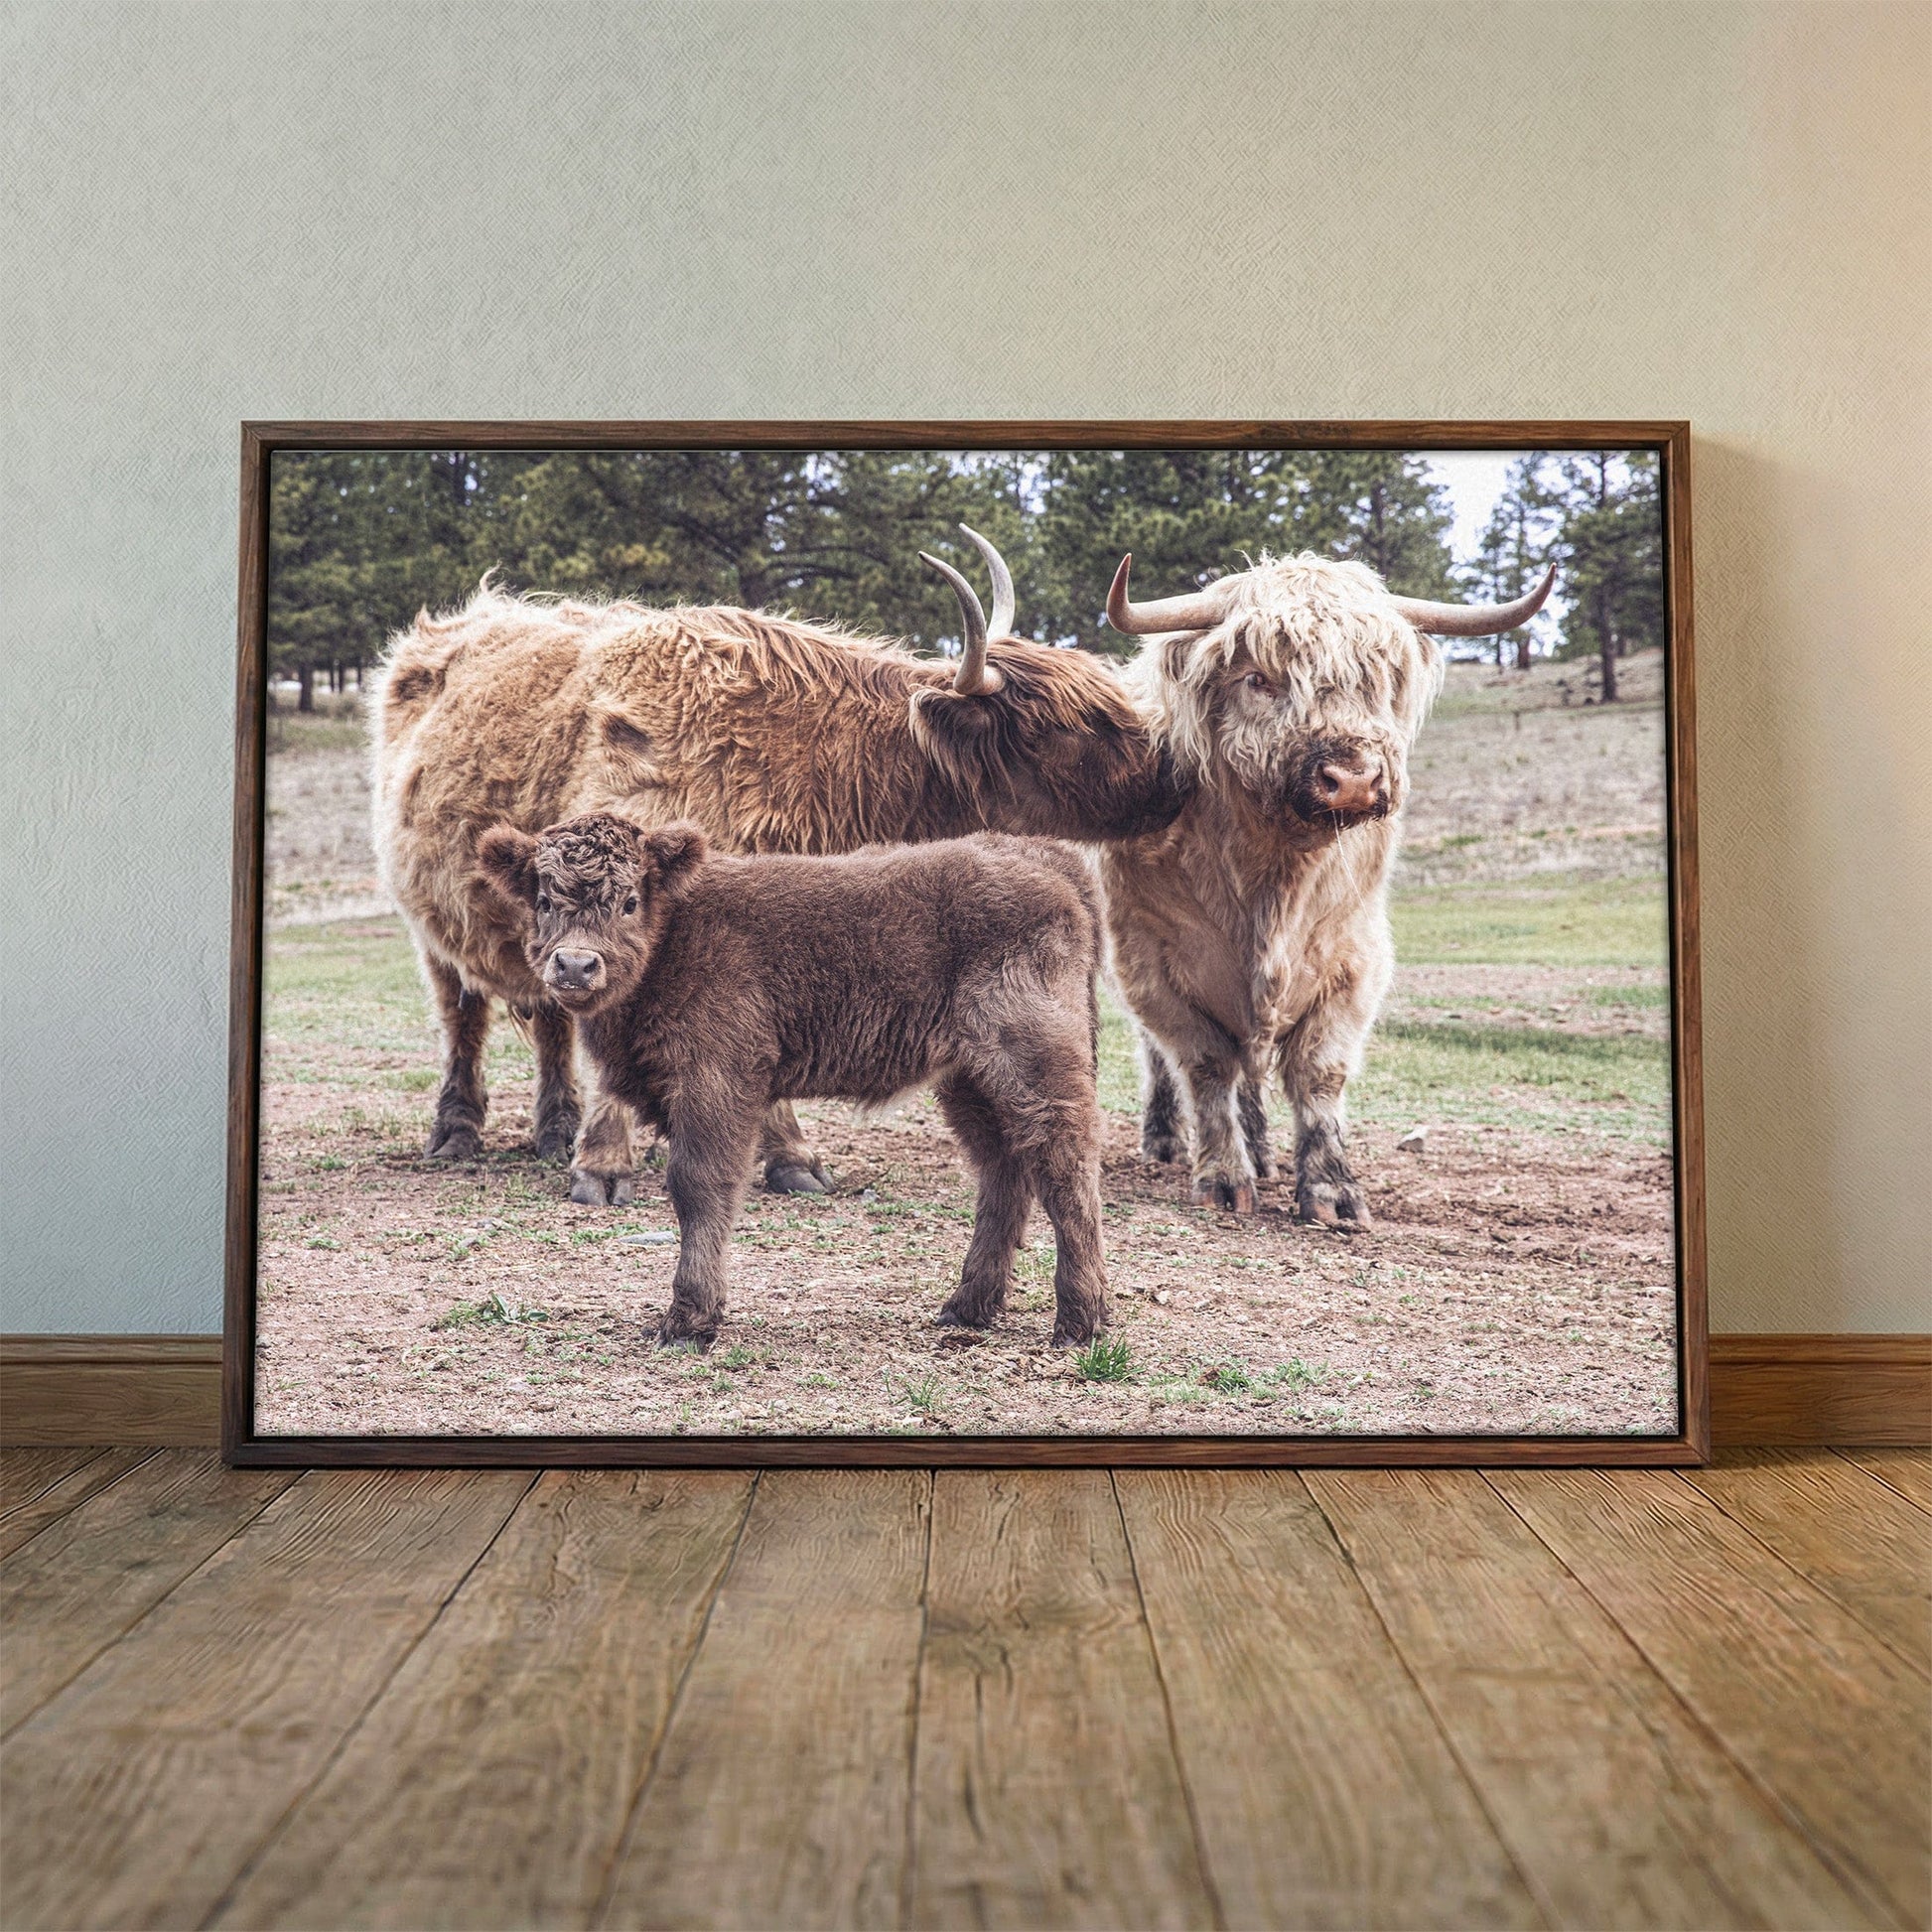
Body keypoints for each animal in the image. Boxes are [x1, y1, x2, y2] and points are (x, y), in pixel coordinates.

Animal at [371, 530, 1185, 1207]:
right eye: (1068, 727)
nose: (1174, 775)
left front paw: (790, 1158)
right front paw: (603, 1169)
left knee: (546, 1019)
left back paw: (553, 1130)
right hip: (437, 919)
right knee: (463, 1013)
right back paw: (457, 1132)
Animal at [476, 814, 1111, 1350]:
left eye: (630, 901)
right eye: (543, 899)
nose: (575, 965)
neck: (676, 934)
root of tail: (1040, 853)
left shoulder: (717, 1079)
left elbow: (698, 1184)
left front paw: (689, 1321)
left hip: (1035, 1065)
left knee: (1065, 1169)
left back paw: (1079, 1322)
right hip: (968, 1080)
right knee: (1003, 1169)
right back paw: (968, 1308)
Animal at [1098, 551, 1555, 1223]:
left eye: (1376, 679)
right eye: (1258, 678)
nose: (1354, 778)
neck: (1273, 883)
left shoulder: (1352, 961)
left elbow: (1318, 1073)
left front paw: (1332, 1192)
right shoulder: (1152, 962)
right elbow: (1204, 1065)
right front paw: (1223, 1178)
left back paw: (1263, 1152)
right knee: (1170, 1058)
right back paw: (1166, 1141)